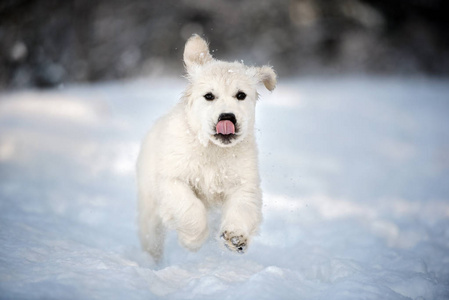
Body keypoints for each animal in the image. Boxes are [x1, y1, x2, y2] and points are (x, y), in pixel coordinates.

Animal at [136, 34, 274, 260]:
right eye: (209, 96)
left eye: (241, 95)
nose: (227, 117)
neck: (212, 150)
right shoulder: (171, 180)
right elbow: (189, 207)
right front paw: (192, 241)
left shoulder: (244, 183)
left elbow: (242, 207)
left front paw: (236, 237)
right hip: (149, 208)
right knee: (151, 238)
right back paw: (151, 261)